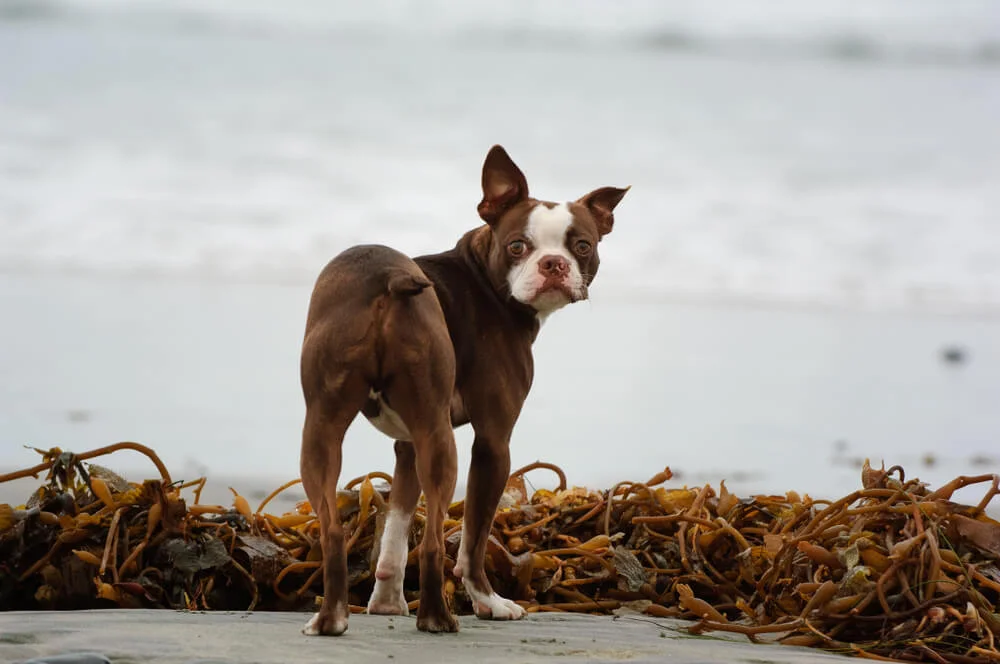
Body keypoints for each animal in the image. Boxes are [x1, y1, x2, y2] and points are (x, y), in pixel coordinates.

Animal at [298, 144, 624, 632]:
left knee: (334, 527)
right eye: (517, 246)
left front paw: (387, 600)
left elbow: (397, 521)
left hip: (324, 427)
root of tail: (386, 279)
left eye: (582, 246)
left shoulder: (407, 444)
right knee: (437, 539)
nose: (553, 264)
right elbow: (473, 536)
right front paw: (490, 602)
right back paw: (437, 618)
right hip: (442, 441)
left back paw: (331, 618)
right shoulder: (493, 441)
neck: (485, 278)